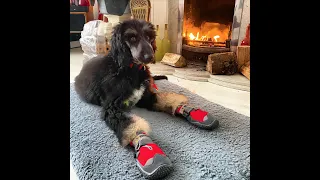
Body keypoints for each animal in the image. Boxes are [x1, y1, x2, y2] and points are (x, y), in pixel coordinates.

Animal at [74, 19, 219, 179]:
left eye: (150, 37)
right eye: (132, 37)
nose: (150, 57)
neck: (129, 69)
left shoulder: (145, 97)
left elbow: (165, 99)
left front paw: (186, 108)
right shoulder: (112, 108)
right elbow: (130, 125)